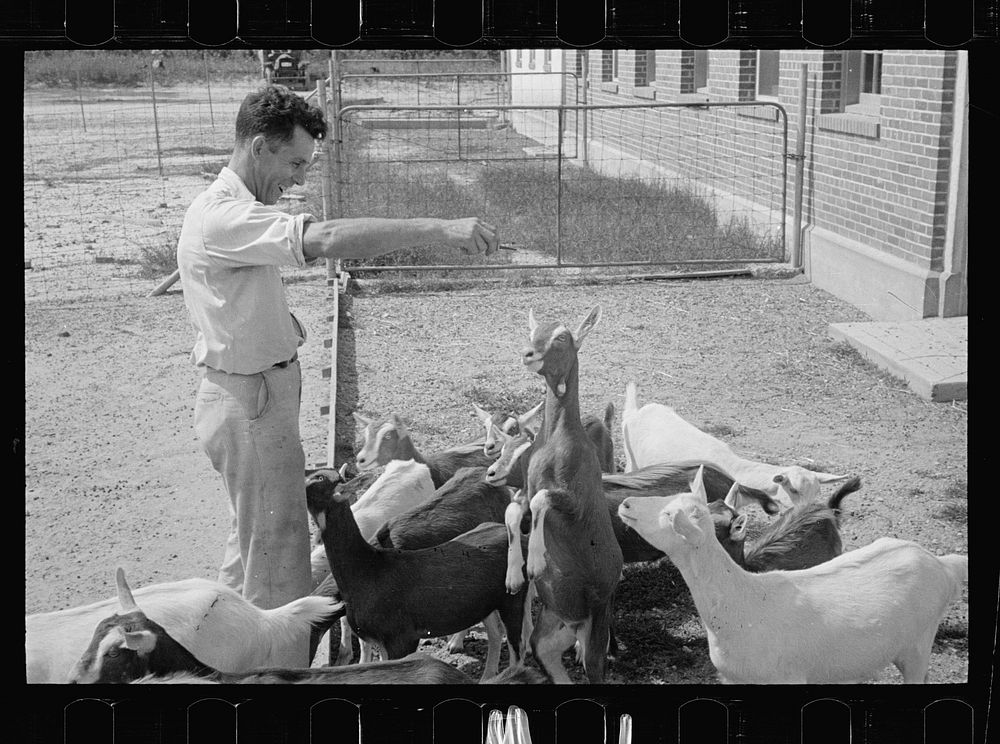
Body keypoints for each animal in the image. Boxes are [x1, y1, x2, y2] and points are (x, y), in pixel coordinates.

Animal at [508, 304, 624, 684]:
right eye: (532, 332)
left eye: (561, 336)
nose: (528, 354)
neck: (557, 441)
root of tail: (576, 624)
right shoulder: (524, 486)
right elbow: (515, 510)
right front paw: (514, 575)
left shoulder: (575, 499)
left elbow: (542, 499)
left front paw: (536, 561)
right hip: (554, 622)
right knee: (542, 651)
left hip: (598, 617)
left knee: (595, 666)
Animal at [616, 468, 968, 684]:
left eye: (669, 515)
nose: (626, 504)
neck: (743, 603)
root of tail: (942, 565)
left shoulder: (787, 677)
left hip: (919, 645)